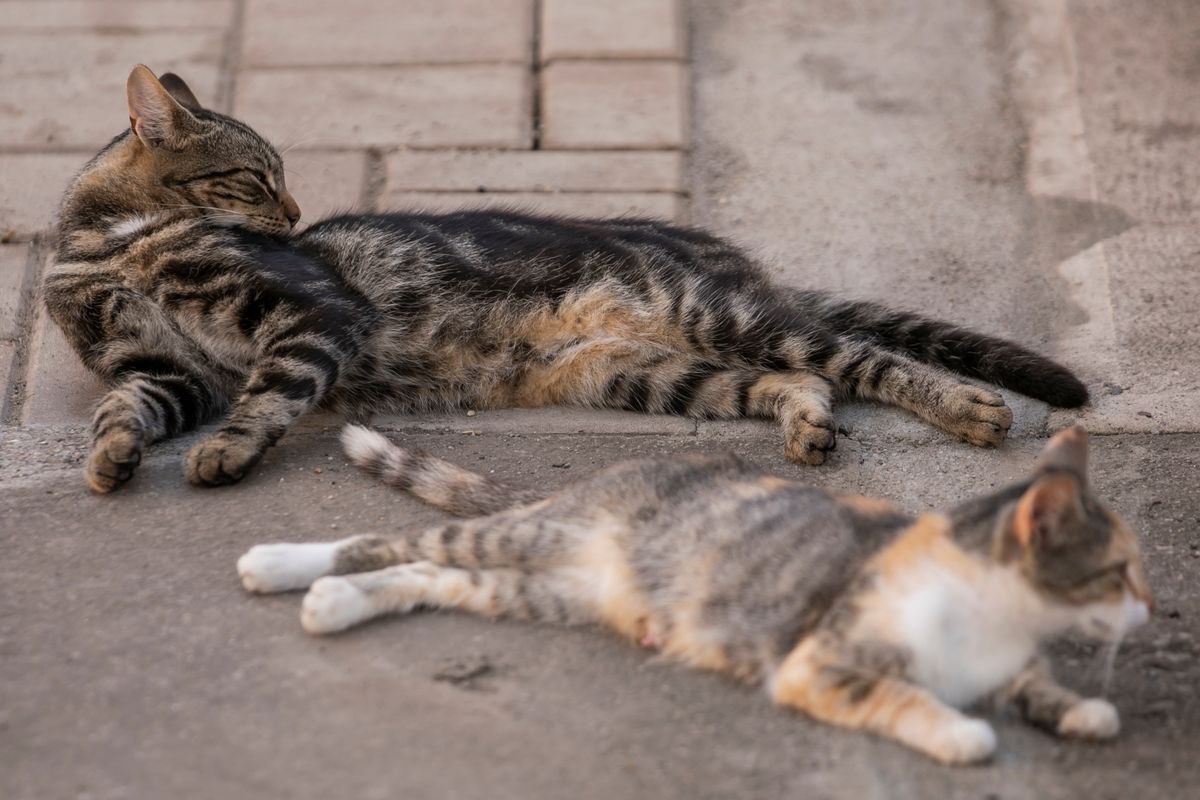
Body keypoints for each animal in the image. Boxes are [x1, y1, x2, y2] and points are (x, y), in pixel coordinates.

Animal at [44, 67, 1089, 494]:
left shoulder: (302, 316)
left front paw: (226, 453)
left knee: (863, 356)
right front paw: (112, 458)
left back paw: (969, 409)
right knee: (805, 379)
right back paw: (807, 426)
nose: (297, 216)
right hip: (647, 372)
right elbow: (122, 413)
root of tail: (734, 259)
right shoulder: (162, 372)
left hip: (719, 317)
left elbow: (266, 395)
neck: (98, 243)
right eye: (258, 179)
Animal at [238, 422, 1147, 767]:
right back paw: (283, 564)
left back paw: (335, 605)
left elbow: (1036, 683)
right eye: (1119, 569)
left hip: (532, 592)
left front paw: (1083, 710)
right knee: (389, 542)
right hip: (520, 539)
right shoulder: (817, 663)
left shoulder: (1010, 661)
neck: (994, 614)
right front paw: (962, 732)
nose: (1150, 607)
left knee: (425, 576)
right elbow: (902, 698)